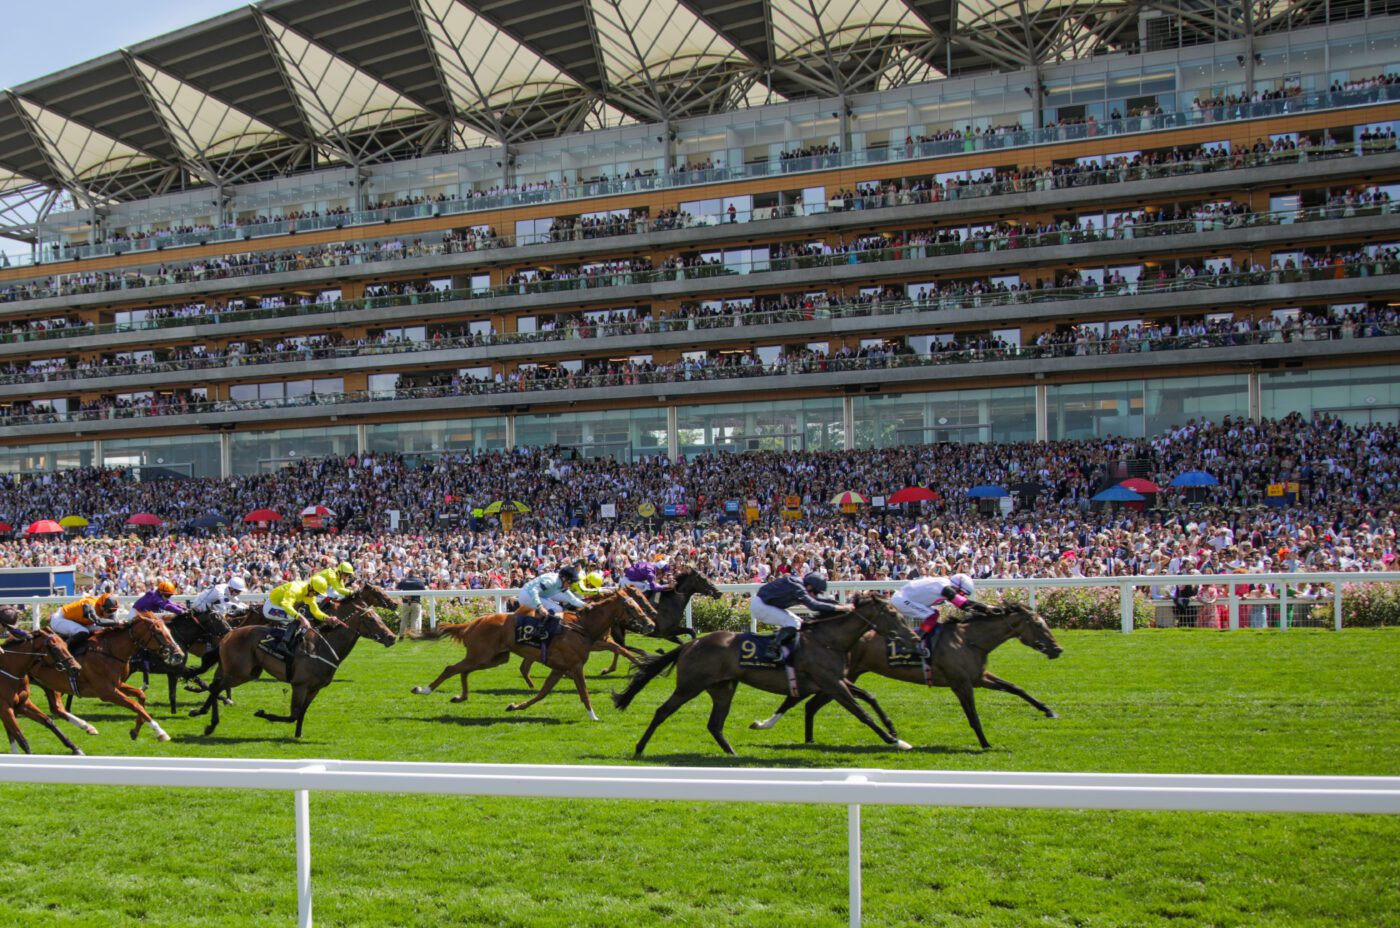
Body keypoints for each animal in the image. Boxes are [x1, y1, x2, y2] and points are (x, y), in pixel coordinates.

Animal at [32, 615, 186, 750]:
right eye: (159, 633)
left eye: (169, 632)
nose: (179, 655)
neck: (110, 651)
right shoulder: (107, 692)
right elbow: (135, 705)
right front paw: (161, 732)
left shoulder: (117, 685)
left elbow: (141, 695)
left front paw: (135, 731)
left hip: (47, 685)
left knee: (57, 708)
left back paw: (88, 727)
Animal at [411, 590, 652, 722]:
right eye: (632, 606)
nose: (650, 624)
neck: (582, 626)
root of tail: (472, 622)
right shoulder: (575, 666)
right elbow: (584, 692)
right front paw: (593, 716)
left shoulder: (560, 668)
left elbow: (542, 693)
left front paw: (515, 706)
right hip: (482, 656)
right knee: (451, 668)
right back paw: (424, 689)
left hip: (493, 658)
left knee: (463, 671)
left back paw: (460, 696)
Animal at [610, 596, 918, 755]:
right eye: (893, 615)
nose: (914, 637)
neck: (828, 639)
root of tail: (690, 644)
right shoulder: (831, 683)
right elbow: (861, 712)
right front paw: (894, 741)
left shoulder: (836, 681)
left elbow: (871, 697)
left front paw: (894, 732)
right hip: (689, 686)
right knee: (663, 711)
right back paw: (639, 747)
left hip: (723, 688)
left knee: (715, 724)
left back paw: (733, 755)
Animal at [756, 601, 1058, 750]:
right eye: (1038, 625)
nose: (1057, 649)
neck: (969, 639)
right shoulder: (961, 682)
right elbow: (972, 715)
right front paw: (985, 743)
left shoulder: (978, 676)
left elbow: (1016, 688)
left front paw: (1049, 710)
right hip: (837, 676)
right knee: (803, 700)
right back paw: (771, 724)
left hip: (841, 677)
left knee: (809, 703)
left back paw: (805, 738)